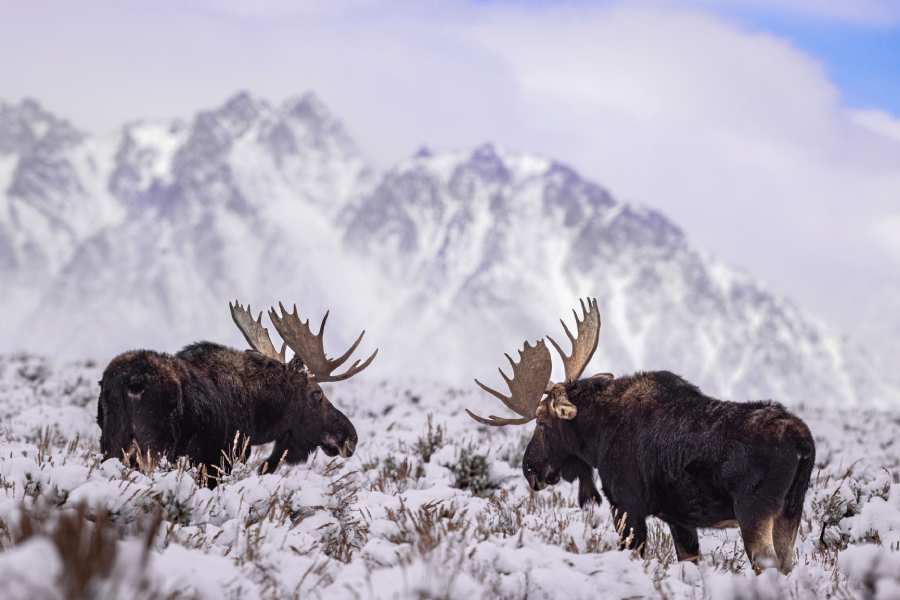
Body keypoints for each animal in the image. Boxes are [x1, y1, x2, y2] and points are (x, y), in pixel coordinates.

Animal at [97, 301, 377, 483]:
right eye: (317, 394)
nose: (350, 437)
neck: (257, 416)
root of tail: (131, 381)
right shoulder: (215, 460)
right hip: (152, 447)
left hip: (111, 442)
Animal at [466, 298, 815, 574]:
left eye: (542, 422)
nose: (530, 469)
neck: (597, 437)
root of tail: (803, 444)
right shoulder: (680, 519)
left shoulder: (626, 505)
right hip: (790, 512)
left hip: (753, 512)